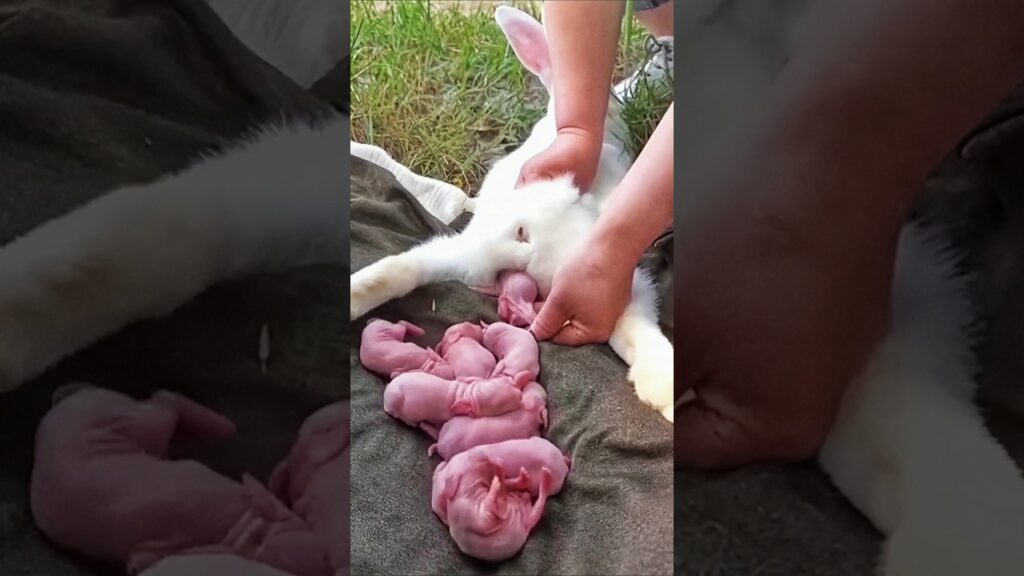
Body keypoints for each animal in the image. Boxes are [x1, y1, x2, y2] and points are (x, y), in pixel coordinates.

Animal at [349, 6, 676, 423]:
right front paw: (351, 297)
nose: (518, 263)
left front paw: (664, 389)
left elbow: (634, 329)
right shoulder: (458, 251)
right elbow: (397, 271)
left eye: (523, 233)